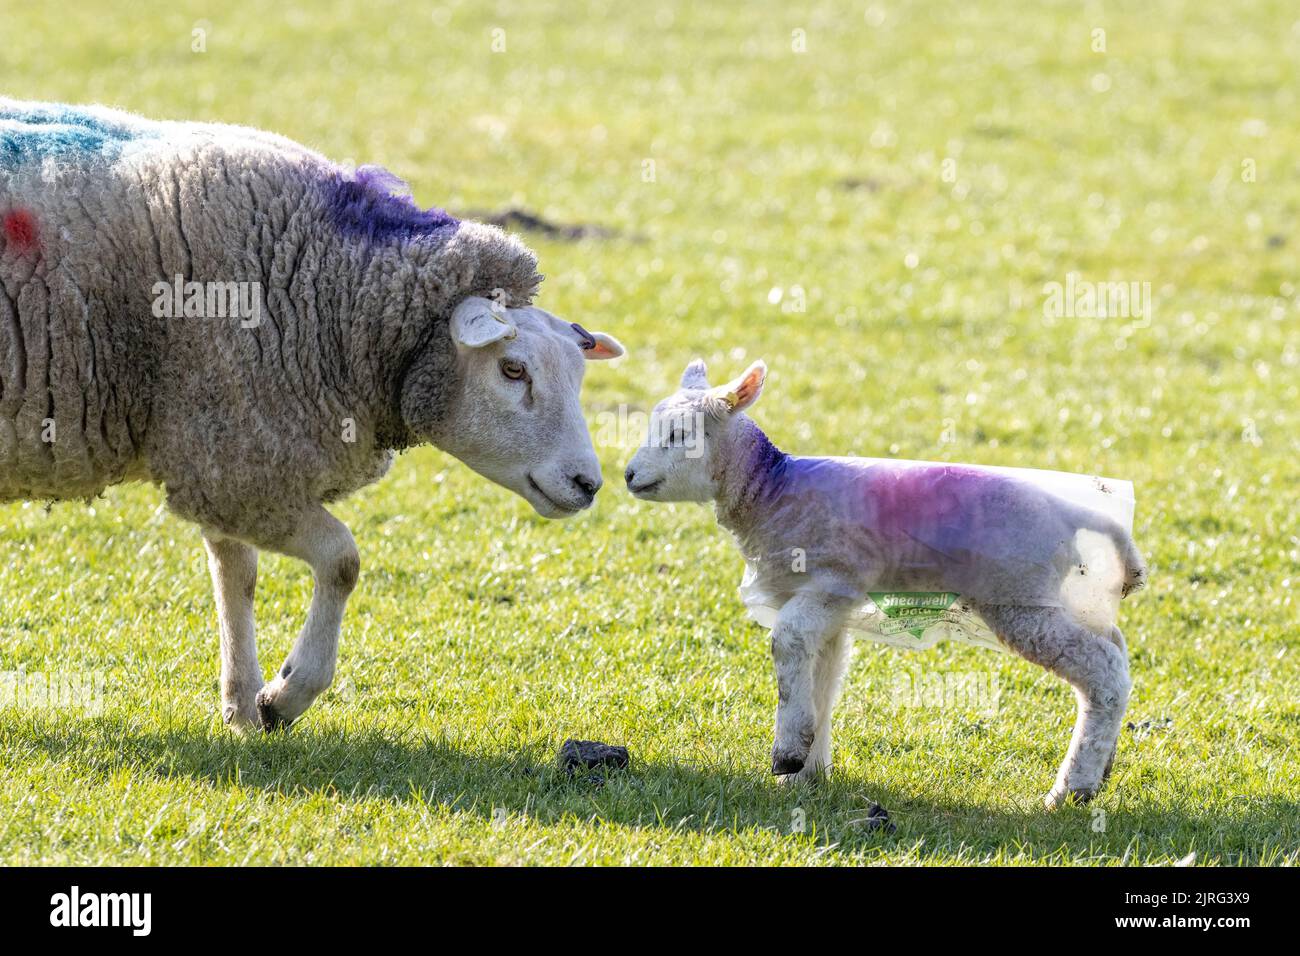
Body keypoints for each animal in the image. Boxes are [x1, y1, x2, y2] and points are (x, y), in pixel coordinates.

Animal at [0, 100, 629, 733]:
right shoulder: (239, 467)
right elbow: (343, 561)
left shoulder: (227, 450)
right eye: (512, 369)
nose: (589, 483)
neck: (332, 292)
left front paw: (242, 703)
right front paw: (286, 694)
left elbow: (236, 576)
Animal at [624, 358, 1144, 806]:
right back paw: (1104, 767)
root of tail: (1076, 512)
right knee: (1116, 649)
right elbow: (822, 674)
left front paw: (788, 753)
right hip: (1059, 597)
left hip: (1020, 597)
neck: (771, 489)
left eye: (680, 435)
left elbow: (787, 642)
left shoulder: (832, 578)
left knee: (1102, 671)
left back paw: (1074, 788)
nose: (629, 475)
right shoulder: (831, 600)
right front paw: (808, 771)